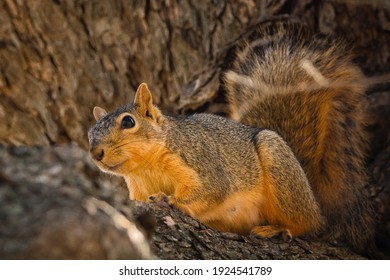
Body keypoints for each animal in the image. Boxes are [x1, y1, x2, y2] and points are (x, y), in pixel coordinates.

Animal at [87, 20, 374, 255]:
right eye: (89, 133)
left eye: (128, 122)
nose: (95, 153)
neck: (145, 167)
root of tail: (310, 189)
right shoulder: (137, 188)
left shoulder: (200, 160)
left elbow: (213, 189)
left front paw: (170, 200)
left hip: (283, 172)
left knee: (308, 223)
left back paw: (279, 228)